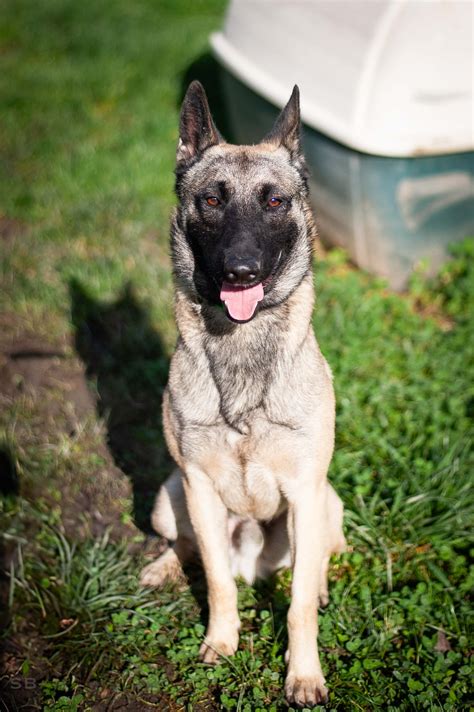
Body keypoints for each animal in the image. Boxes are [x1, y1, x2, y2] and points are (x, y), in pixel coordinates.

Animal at [139, 79, 346, 708]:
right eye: (212, 200)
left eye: (275, 202)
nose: (241, 271)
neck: (243, 344)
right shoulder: (199, 489)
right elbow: (214, 580)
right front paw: (220, 642)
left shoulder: (304, 491)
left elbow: (298, 607)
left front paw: (303, 675)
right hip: (167, 497)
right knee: (188, 548)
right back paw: (163, 568)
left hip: (329, 503)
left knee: (315, 562)